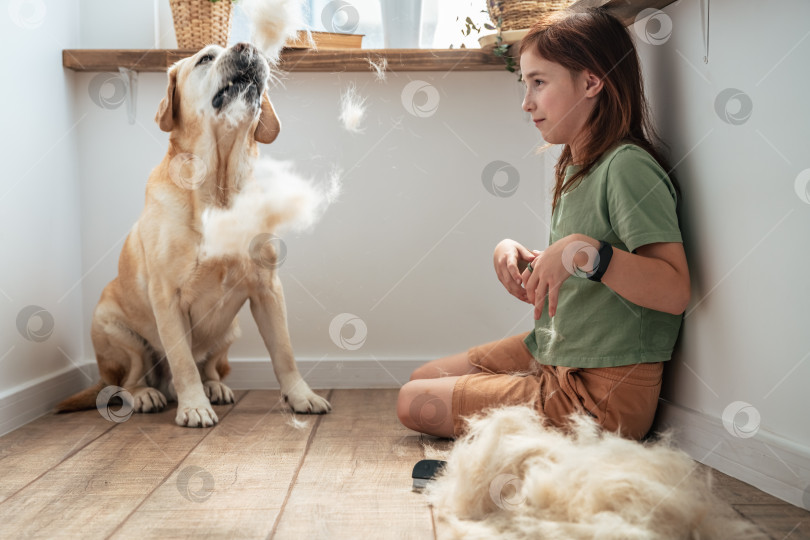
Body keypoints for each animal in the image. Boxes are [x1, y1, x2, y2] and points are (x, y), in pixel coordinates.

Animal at [56, 43, 332, 426]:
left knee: (211, 367)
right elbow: (183, 361)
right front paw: (194, 407)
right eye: (205, 58)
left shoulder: (268, 290)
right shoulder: (166, 297)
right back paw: (148, 394)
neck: (219, 187)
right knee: (129, 380)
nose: (249, 47)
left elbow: (284, 353)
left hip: (230, 330)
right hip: (113, 328)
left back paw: (214, 387)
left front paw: (301, 396)